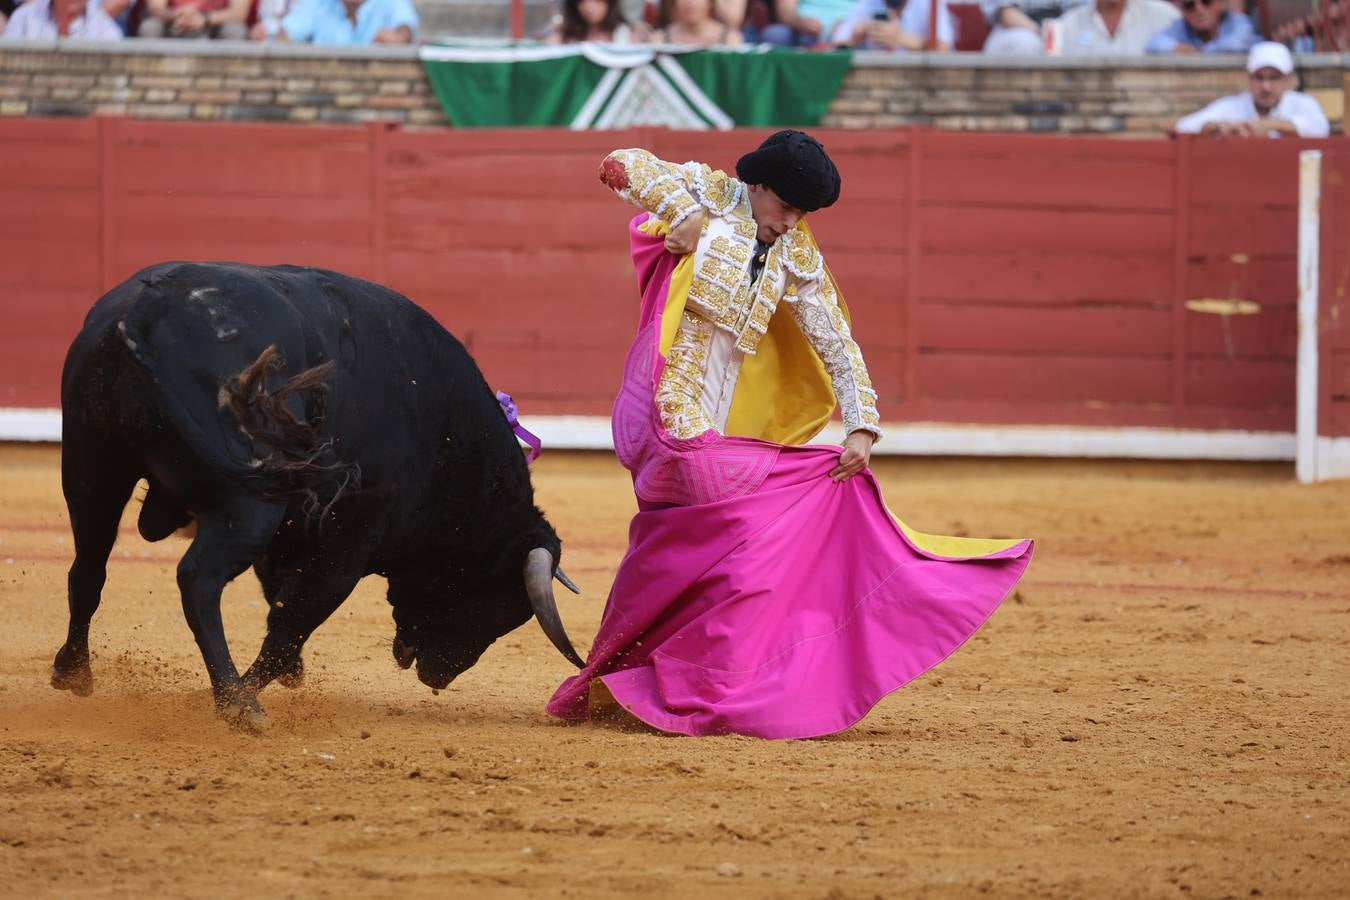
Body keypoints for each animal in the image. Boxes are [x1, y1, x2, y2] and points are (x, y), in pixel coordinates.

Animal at [58, 261, 585, 734]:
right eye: (496, 604)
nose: (440, 675)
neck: (440, 433)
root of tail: (146, 311)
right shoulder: (348, 544)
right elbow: (293, 623)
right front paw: (247, 690)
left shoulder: (296, 536)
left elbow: (279, 603)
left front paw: (288, 676)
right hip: (246, 506)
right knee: (198, 580)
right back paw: (237, 703)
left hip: (90, 468)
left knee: (88, 569)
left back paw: (73, 672)